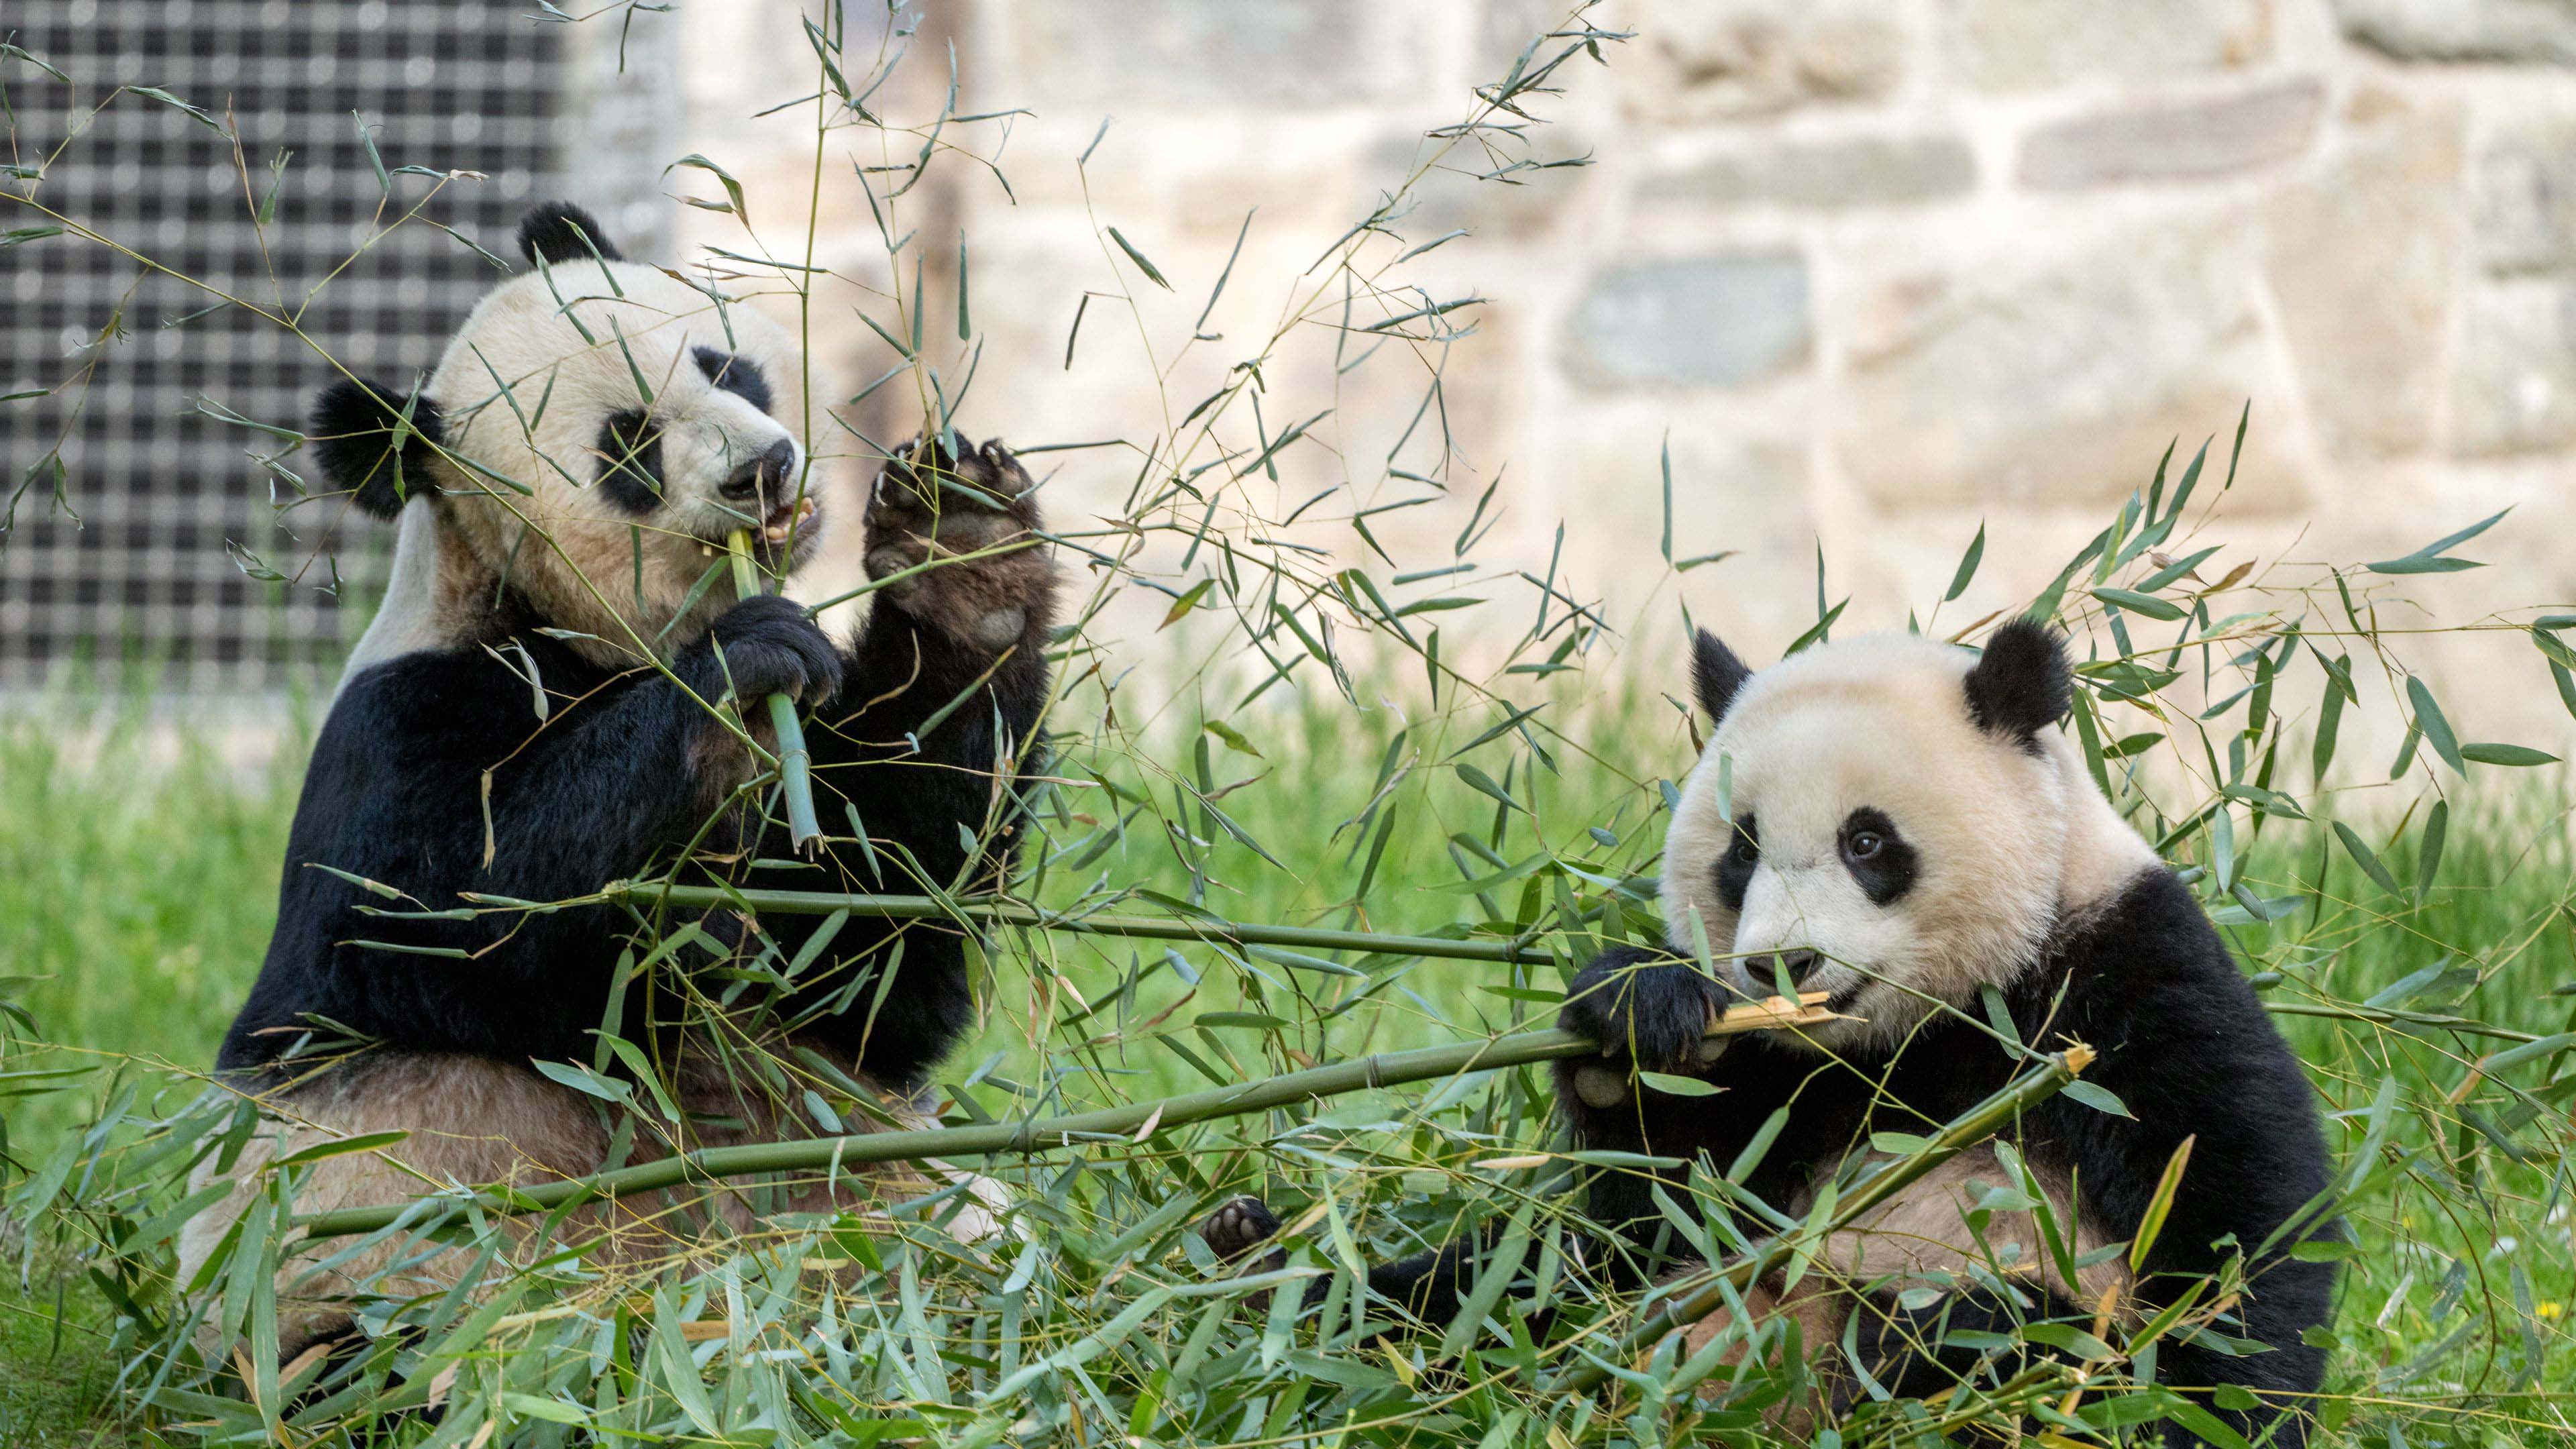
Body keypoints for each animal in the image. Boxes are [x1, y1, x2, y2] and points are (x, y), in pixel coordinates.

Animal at [184, 203, 1056, 1350]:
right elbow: (474, 918)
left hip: (891, 1200)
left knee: (993, 1284)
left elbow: (868, 949)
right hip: (362, 1263)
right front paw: (747, 658)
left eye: (722, 363)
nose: (763, 469)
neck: (552, 624)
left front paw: (964, 548)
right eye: (629, 446)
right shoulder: (403, 728)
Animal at [1205, 621, 2339, 1444]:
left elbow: (2236, 1225)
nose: (1781, 966)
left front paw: (2212, 1402)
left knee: (1980, 1338)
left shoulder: (2117, 983)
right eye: (1741, 850)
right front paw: (1632, 1028)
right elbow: (1660, 1194)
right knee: (1476, 1298)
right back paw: (1253, 1267)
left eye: (1868, 841)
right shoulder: (1770, 1075)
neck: (1911, 1037)